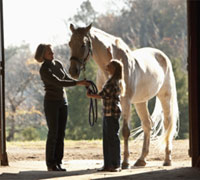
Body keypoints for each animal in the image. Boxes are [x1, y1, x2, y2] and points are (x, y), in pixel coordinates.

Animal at [68, 23, 179, 169]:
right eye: (70, 43)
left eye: (83, 44)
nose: (73, 71)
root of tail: (163, 56)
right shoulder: (104, 98)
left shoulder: (125, 101)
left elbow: (125, 131)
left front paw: (125, 162)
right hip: (140, 102)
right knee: (147, 124)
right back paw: (141, 160)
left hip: (165, 96)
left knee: (167, 125)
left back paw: (167, 159)